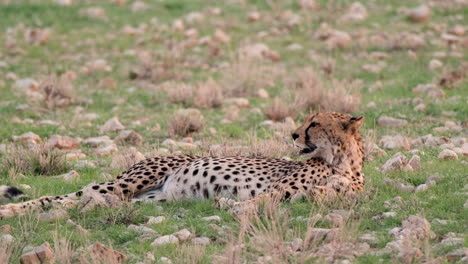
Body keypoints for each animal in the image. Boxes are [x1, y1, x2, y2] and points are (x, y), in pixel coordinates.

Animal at [0, 112, 366, 219]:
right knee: (63, 196)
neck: (341, 162)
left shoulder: (340, 194)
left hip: (149, 198)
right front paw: (232, 206)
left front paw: (228, 204)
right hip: (131, 181)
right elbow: (262, 198)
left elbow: (325, 195)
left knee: (91, 200)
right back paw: (11, 211)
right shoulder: (278, 188)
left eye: (314, 123)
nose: (293, 134)